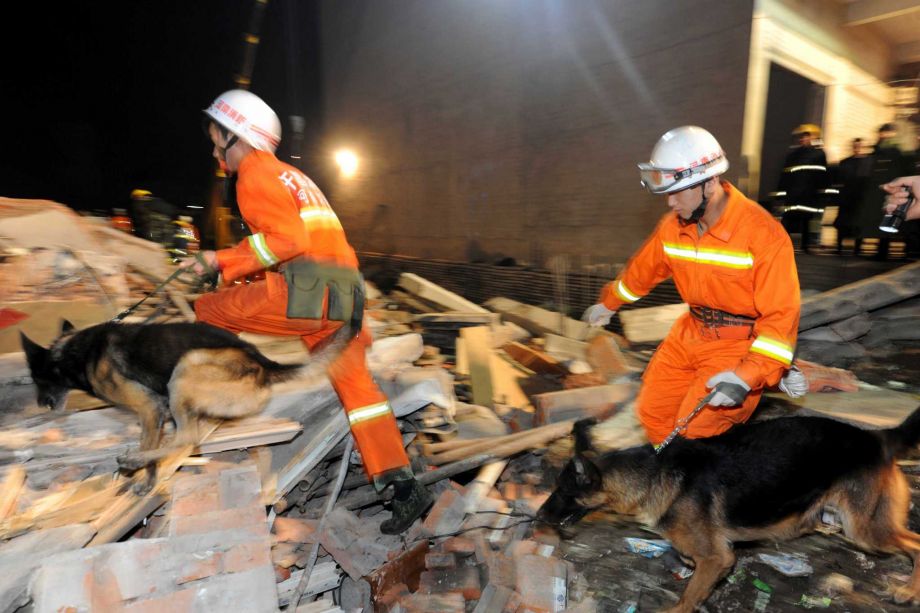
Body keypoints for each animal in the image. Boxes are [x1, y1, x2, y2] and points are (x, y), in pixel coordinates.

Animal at [21, 320, 348, 491]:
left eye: (35, 378)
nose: (39, 405)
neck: (74, 352)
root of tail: (264, 363)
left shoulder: (150, 406)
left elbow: (150, 446)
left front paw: (140, 472)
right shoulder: (156, 412)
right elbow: (151, 443)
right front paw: (146, 481)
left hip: (183, 370)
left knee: (187, 439)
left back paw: (132, 459)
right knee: (191, 435)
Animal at [536, 411, 920, 612]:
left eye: (563, 491)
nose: (538, 518)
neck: (653, 475)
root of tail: (877, 437)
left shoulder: (716, 556)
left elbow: (688, 595)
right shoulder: (712, 555)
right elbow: (693, 570)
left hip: (865, 531)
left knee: (914, 542)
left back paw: (907, 590)